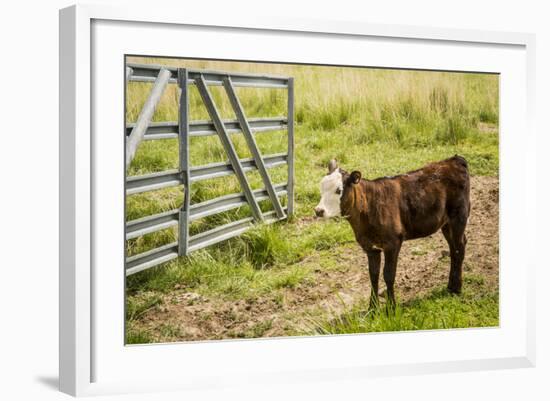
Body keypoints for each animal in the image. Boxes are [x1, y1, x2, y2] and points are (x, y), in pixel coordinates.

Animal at [316, 156, 472, 306]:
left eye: (338, 190)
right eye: (321, 187)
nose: (318, 210)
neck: (369, 208)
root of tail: (454, 160)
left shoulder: (393, 243)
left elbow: (389, 275)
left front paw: (391, 308)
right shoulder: (370, 247)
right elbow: (373, 275)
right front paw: (372, 308)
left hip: (459, 216)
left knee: (459, 248)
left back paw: (456, 289)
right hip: (446, 223)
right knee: (453, 248)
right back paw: (451, 286)